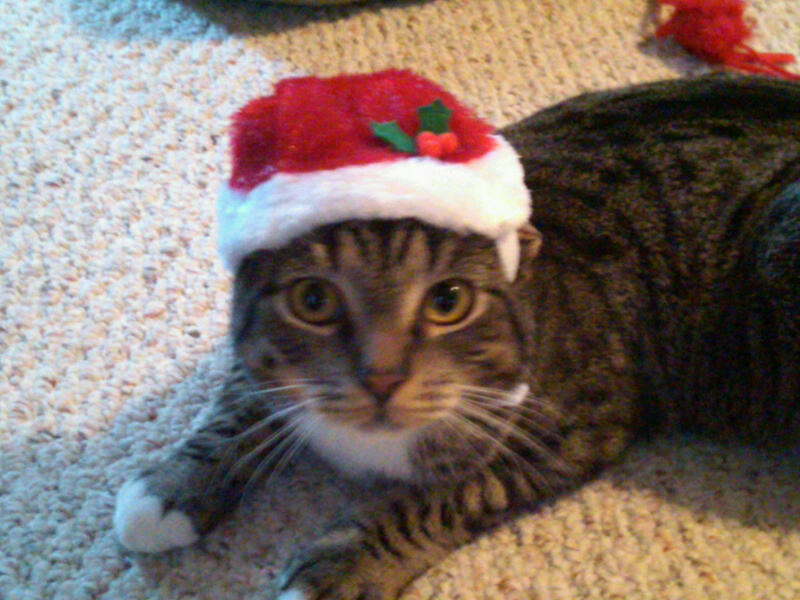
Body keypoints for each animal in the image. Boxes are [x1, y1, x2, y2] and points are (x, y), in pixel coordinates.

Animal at [113, 74, 800, 599]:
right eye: (314, 301)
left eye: (448, 302)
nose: (382, 378)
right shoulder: (257, 361)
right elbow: (240, 402)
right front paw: (169, 489)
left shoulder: (576, 429)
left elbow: (446, 498)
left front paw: (344, 562)